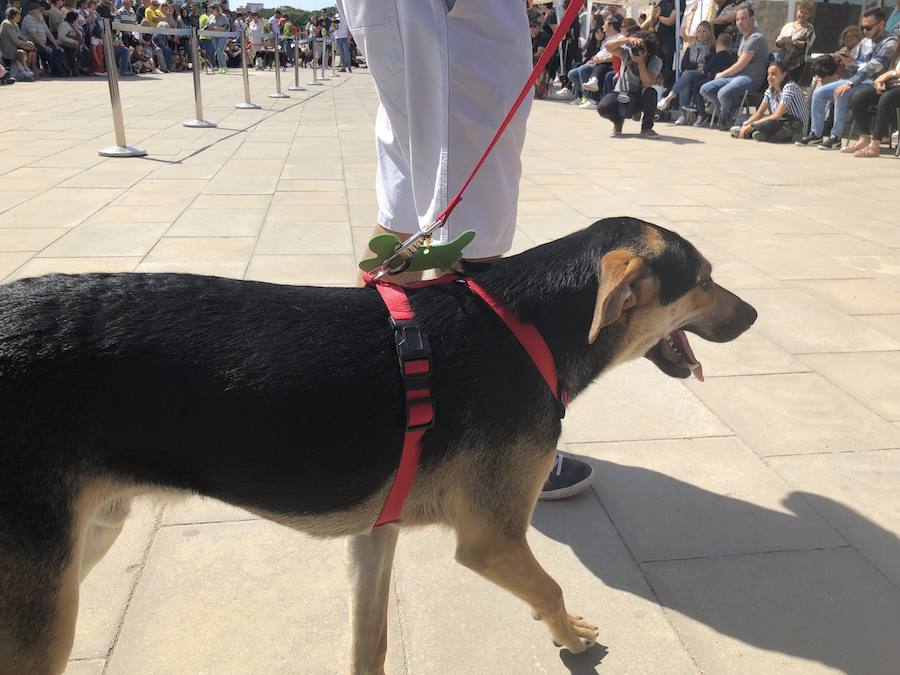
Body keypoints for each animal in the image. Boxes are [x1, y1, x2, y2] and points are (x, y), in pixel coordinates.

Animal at [1, 219, 752, 672]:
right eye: (704, 279)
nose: (752, 315)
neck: (527, 326)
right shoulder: (491, 539)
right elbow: (550, 583)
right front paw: (569, 636)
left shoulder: (375, 537)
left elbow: (371, 643)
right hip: (46, 602)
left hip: (88, 537)